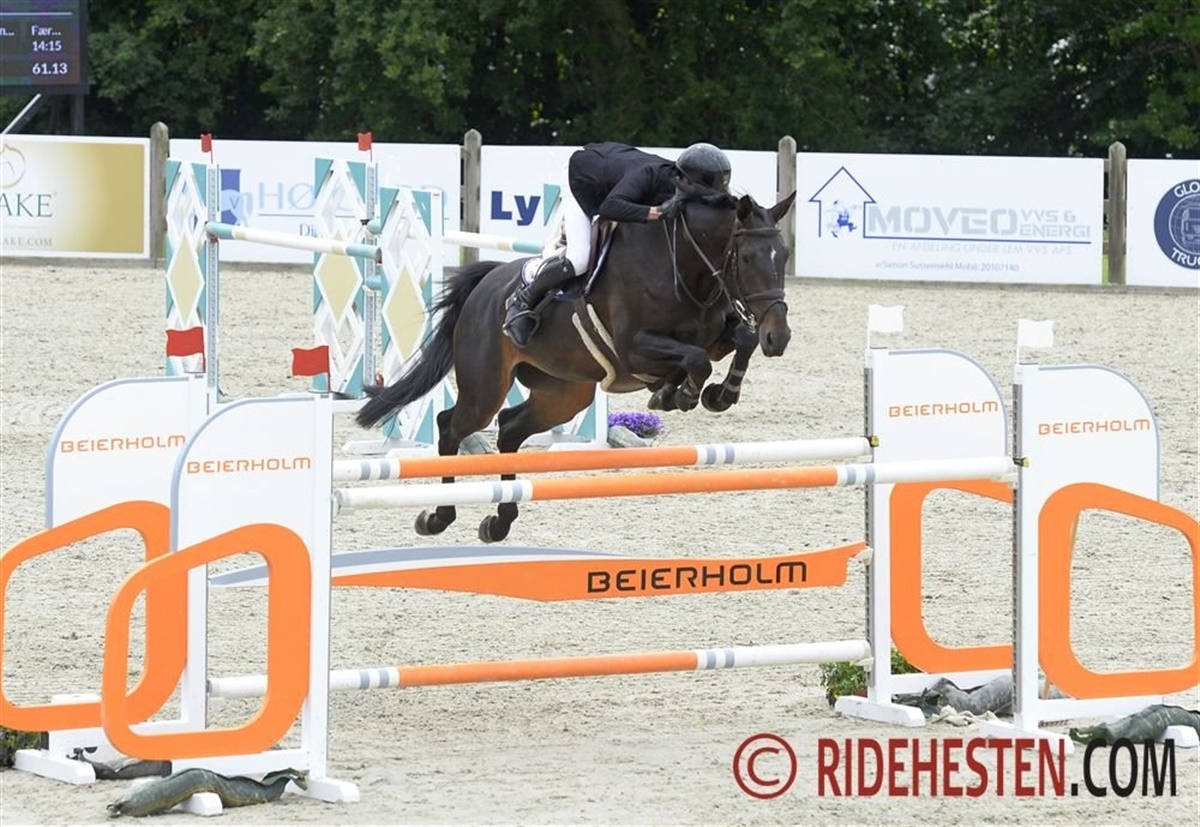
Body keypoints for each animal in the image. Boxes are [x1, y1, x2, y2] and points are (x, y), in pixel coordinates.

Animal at [356, 189, 797, 542]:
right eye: (747, 257)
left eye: (785, 257)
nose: (780, 338)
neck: (686, 265)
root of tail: (486, 285)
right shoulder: (634, 349)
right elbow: (696, 359)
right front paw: (683, 394)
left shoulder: (715, 334)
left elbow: (738, 342)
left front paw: (716, 394)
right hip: (485, 388)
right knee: (450, 425)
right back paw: (438, 516)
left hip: (564, 394)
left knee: (510, 429)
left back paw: (499, 521)